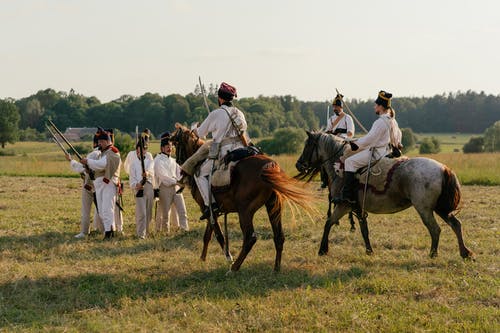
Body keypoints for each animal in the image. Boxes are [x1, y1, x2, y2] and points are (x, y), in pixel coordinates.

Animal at [172, 123, 312, 272]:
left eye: (175, 142)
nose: (179, 163)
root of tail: (269, 166)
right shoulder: (210, 211)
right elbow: (207, 235)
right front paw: (202, 258)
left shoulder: (209, 210)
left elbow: (219, 235)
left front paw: (228, 257)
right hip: (273, 207)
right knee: (279, 236)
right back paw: (276, 268)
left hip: (245, 211)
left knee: (250, 238)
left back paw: (234, 267)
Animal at [294, 130, 474, 260]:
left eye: (307, 145)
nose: (298, 164)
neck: (342, 166)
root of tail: (444, 168)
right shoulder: (357, 208)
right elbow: (364, 230)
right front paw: (369, 251)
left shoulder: (344, 205)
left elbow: (328, 223)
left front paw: (322, 250)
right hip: (439, 208)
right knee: (455, 224)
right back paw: (465, 253)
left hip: (425, 209)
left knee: (435, 229)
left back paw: (433, 254)